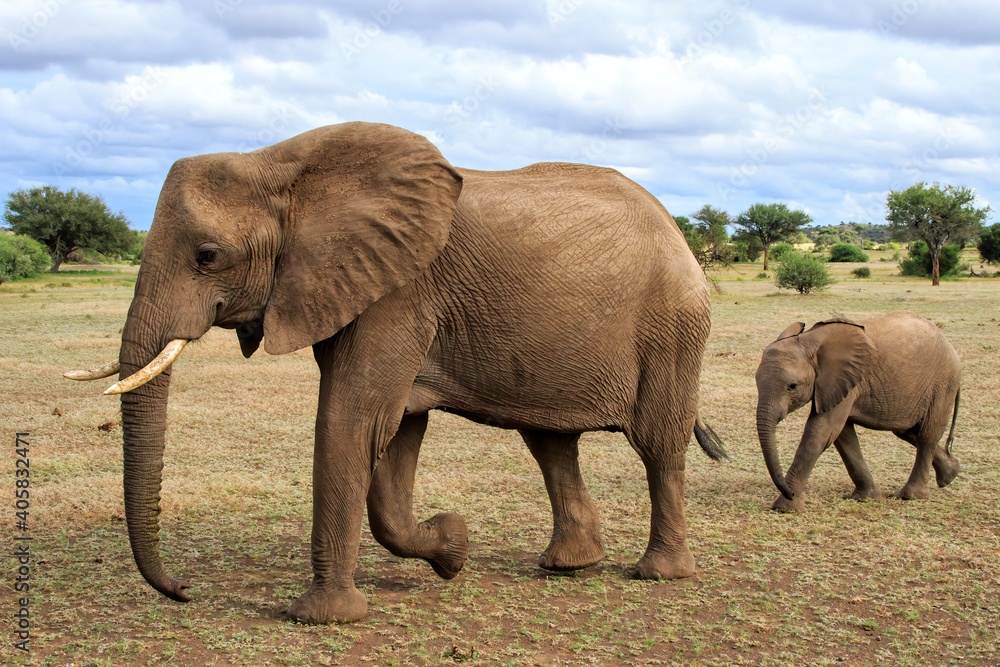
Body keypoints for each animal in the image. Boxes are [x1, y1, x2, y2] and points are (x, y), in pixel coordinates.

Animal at [65, 121, 727, 624]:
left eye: (207, 256)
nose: (183, 591)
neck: (280, 165)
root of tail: (674, 227)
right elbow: (395, 432)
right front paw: (453, 549)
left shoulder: (399, 293)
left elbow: (352, 418)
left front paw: (323, 617)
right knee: (550, 443)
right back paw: (570, 565)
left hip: (672, 326)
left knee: (658, 443)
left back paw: (659, 574)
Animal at [755, 310, 961, 512]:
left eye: (792, 386)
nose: (789, 492)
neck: (810, 340)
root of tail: (949, 345)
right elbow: (842, 435)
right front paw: (866, 497)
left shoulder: (847, 380)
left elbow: (822, 432)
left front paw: (785, 507)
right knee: (907, 430)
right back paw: (950, 474)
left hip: (942, 383)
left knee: (927, 434)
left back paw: (912, 495)